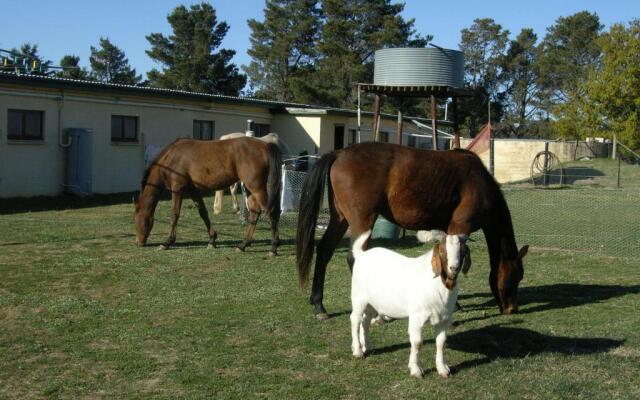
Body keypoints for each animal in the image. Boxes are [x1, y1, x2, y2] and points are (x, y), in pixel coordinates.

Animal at [134, 136, 282, 255]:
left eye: (136, 219)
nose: (138, 242)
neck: (172, 158)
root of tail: (264, 145)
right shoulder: (193, 190)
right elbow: (203, 213)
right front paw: (212, 240)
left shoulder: (177, 189)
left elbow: (174, 214)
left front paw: (167, 242)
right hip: (249, 187)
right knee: (255, 212)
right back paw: (243, 245)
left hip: (256, 187)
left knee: (272, 212)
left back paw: (273, 248)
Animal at [298, 142, 528, 320]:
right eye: (517, 275)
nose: (512, 309)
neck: (480, 183)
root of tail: (339, 153)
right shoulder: (460, 227)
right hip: (362, 221)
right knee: (353, 257)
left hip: (340, 219)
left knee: (324, 251)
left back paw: (319, 305)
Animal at [350, 230, 470, 376]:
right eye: (442, 251)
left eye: (462, 251)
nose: (454, 268)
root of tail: (361, 254)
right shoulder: (417, 317)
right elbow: (417, 343)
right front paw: (415, 369)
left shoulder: (444, 319)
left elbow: (441, 342)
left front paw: (443, 369)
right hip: (359, 297)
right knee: (355, 319)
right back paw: (358, 351)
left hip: (372, 303)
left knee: (365, 321)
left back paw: (367, 347)